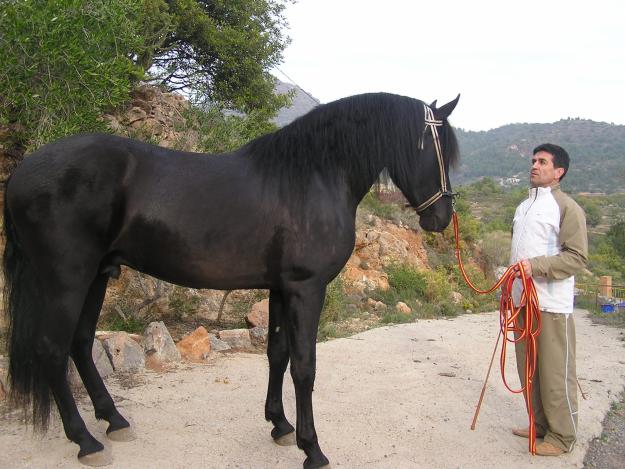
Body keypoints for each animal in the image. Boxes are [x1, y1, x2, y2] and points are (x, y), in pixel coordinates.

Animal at [1, 91, 458, 464]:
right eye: (440, 151)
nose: (441, 218)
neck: (312, 176)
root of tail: (21, 173)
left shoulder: (280, 288)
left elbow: (277, 353)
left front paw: (280, 425)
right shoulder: (306, 288)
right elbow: (305, 366)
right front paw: (312, 448)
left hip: (96, 275)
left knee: (79, 343)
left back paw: (113, 419)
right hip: (66, 279)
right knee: (51, 350)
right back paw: (85, 441)